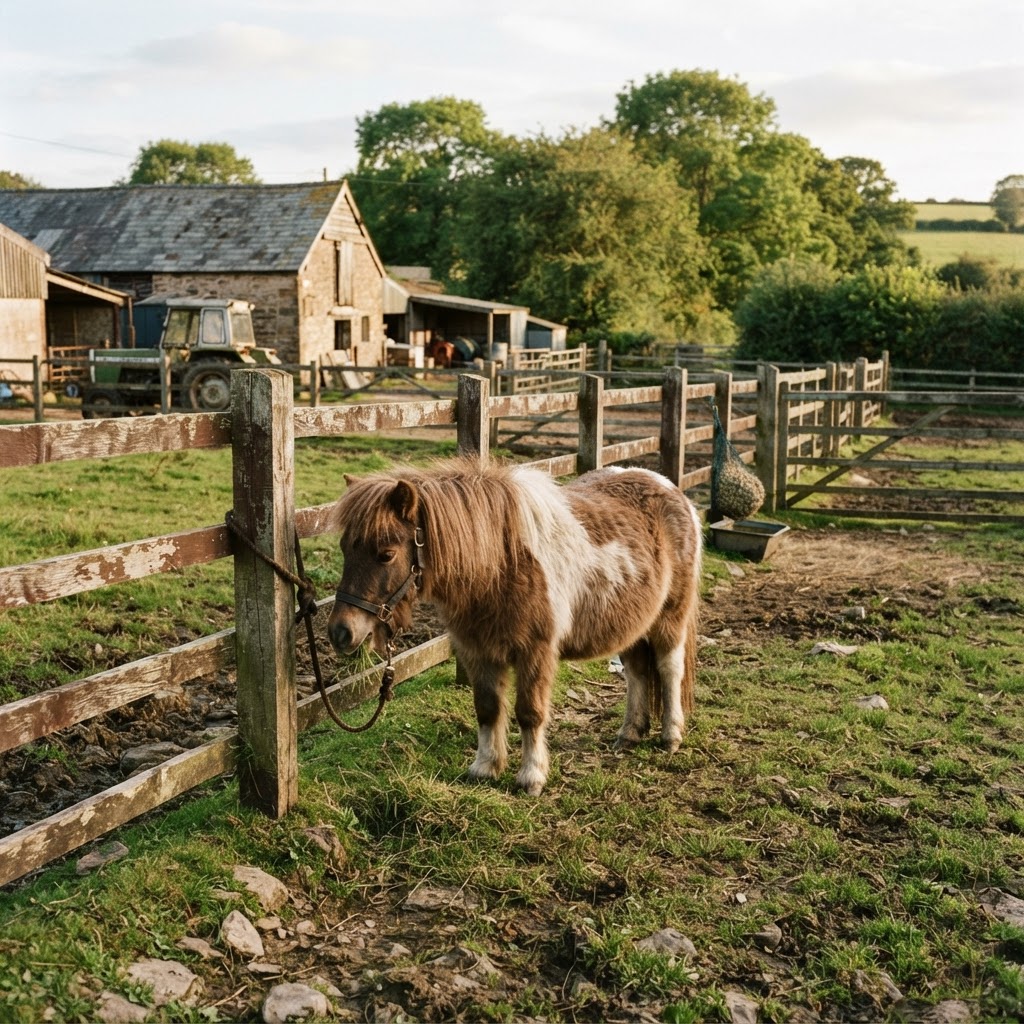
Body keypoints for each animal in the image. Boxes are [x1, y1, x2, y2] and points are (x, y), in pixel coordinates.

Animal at [327, 459, 703, 796]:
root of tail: (672, 490)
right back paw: (629, 734)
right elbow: (488, 708)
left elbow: (529, 713)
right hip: (633, 625)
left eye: (386, 554)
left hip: (669, 619)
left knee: (669, 670)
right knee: (637, 672)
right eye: (345, 548)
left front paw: (531, 777)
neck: (502, 566)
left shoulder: (535, 653)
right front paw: (485, 767)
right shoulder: (478, 652)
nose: (340, 632)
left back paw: (670, 736)